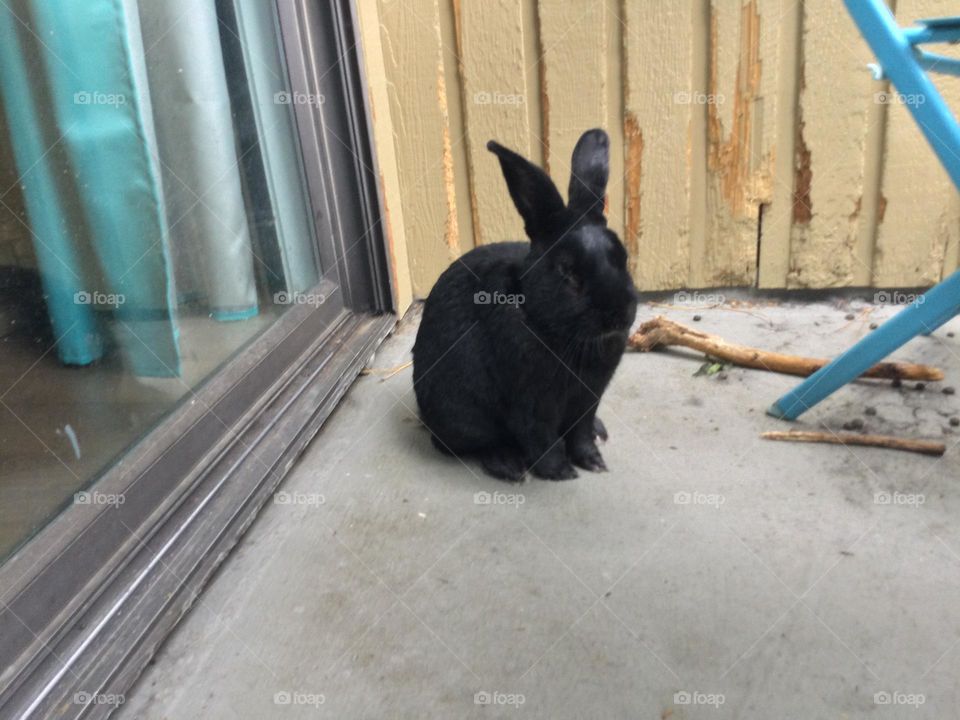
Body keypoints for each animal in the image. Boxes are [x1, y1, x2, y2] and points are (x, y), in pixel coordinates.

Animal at [412, 128, 638, 481]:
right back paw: (507, 465)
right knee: (465, 443)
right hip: (461, 418)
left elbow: (581, 433)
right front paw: (561, 471)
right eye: (568, 272)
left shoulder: (587, 400)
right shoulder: (530, 404)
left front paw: (593, 462)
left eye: (623, 257)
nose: (619, 315)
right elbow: (540, 438)